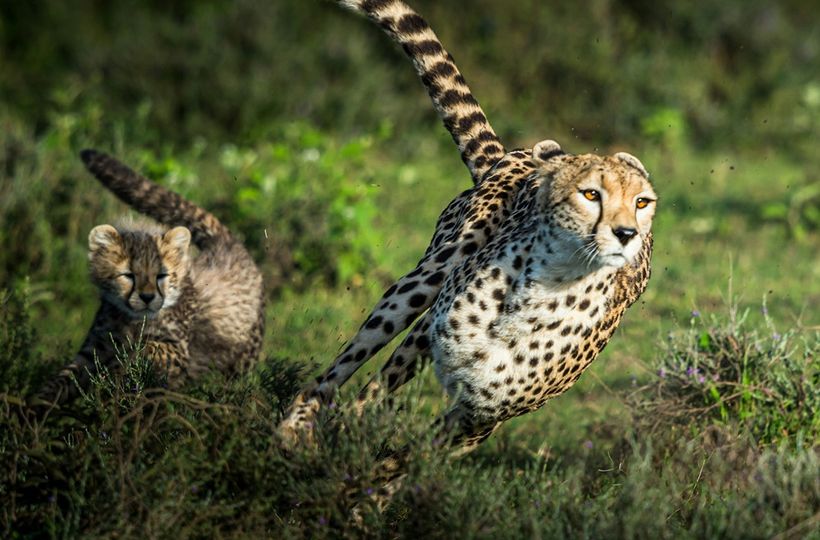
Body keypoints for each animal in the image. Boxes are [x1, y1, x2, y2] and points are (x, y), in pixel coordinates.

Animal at [32, 150, 265, 408]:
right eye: (128, 275)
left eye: (162, 275)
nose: (147, 297)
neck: (133, 320)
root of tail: (226, 244)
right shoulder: (94, 350)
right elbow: (62, 379)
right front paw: (32, 409)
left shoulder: (180, 352)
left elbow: (148, 347)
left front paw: (122, 369)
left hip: (242, 362)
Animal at [279, 0, 656, 474]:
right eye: (591, 194)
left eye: (642, 202)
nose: (627, 233)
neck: (545, 291)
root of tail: (513, 155)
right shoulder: (440, 345)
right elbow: (374, 404)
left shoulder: (481, 417)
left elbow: (407, 459)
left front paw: (367, 481)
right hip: (426, 280)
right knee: (348, 368)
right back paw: (298, 425)